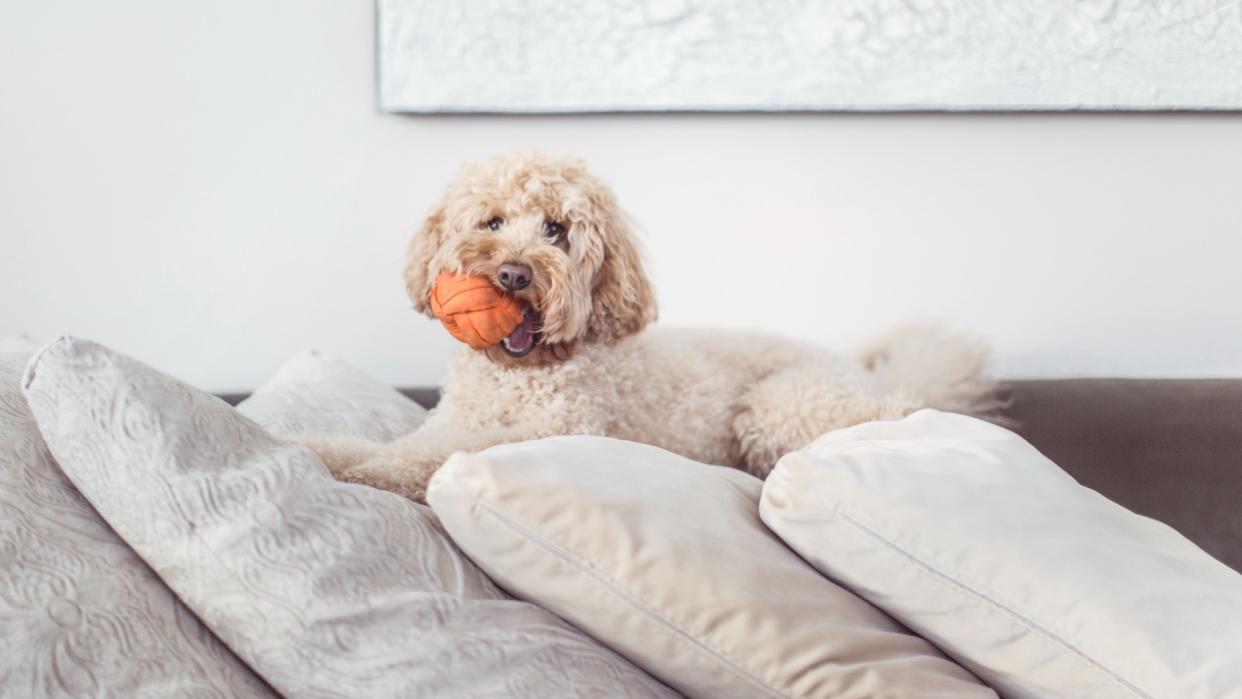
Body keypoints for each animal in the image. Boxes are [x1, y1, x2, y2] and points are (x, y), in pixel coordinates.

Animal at [305, 153, 1003, 504]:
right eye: (493, 222)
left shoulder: (557, 429)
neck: (520, 375)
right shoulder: (448, 421)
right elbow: (381, 444)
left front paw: (368, 473)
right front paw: (313, 450)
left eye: (557, 229)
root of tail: (860, 371)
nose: (513, 275)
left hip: (780, 403)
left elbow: (421, 457)